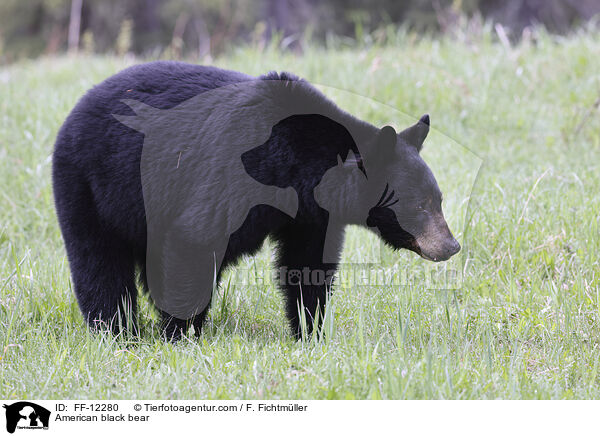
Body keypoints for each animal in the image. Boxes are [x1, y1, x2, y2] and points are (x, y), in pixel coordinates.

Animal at [52, 62, 460, 340]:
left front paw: (310, 332)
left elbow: (307, 265)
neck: (296, 168)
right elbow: (194, 239)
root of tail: (78, 107)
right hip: (91, 184)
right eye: (420, 204)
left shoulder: (311, 215)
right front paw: (180, 333)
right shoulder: (234, 174)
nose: (451, 245)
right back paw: (116, 330)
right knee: (99, 261)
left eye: (438, 199)